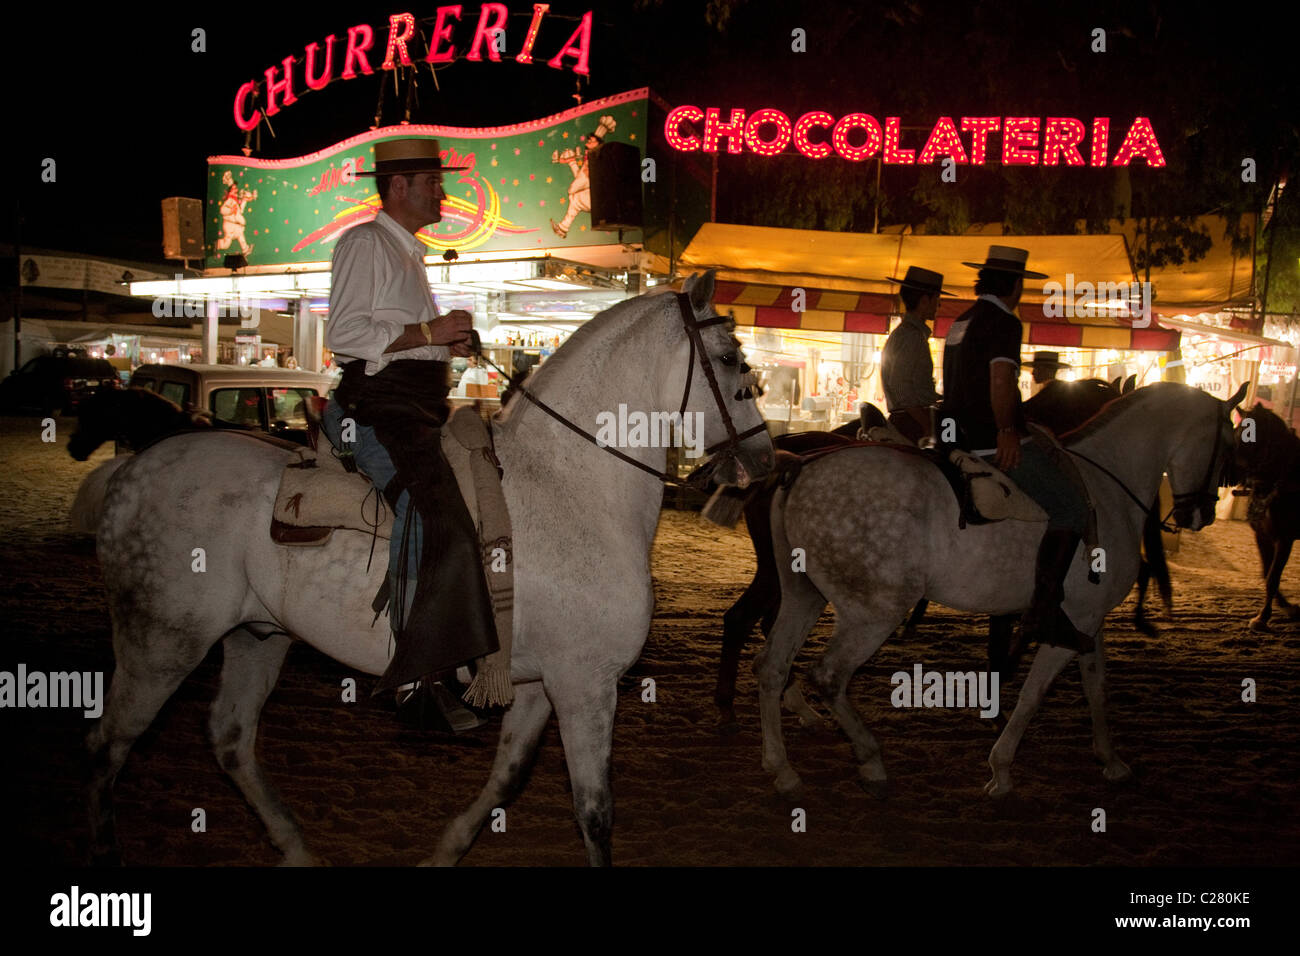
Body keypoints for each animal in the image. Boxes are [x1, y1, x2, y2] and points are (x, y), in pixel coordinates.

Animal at [89, 269, 769, 868]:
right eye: (731, 357)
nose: (763, 458)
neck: (570, 483)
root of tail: (130, 472)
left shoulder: (542, 685)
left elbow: (507, 777)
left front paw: (443, 853)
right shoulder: (587, 686)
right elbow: (595, 813)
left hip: (257, 637)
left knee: (229, 740)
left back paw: (297, 849)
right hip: (163, 642)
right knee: (108, 744)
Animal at [759, 382, 1242, 801]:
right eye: (1228, 443)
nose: (1201, 514)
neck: (1108, 489)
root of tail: (802, 468)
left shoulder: (1089, 622)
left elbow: (1096, 685)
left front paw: (1110, 760)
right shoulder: (1070, 625)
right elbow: (1033, 695)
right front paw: (1001, 770)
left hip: (804, 597)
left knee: (772, 667)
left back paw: (783, 769)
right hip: (874, 613)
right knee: (829, 677)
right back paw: (870, 759)